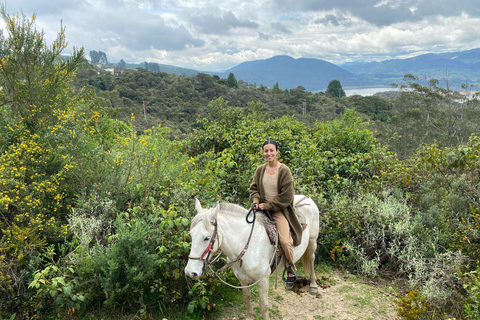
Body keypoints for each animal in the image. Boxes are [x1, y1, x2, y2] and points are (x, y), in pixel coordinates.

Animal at [186, 195, 320, 320]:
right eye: (191, 234)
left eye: (207, 238)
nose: (190, 272)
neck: (247, 247)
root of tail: (306, 198)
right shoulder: (242, 279)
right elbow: (247, 298)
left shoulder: (263, 280)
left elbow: (264, 306)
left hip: (312, 241)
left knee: (311, 258)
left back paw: (313, 285)